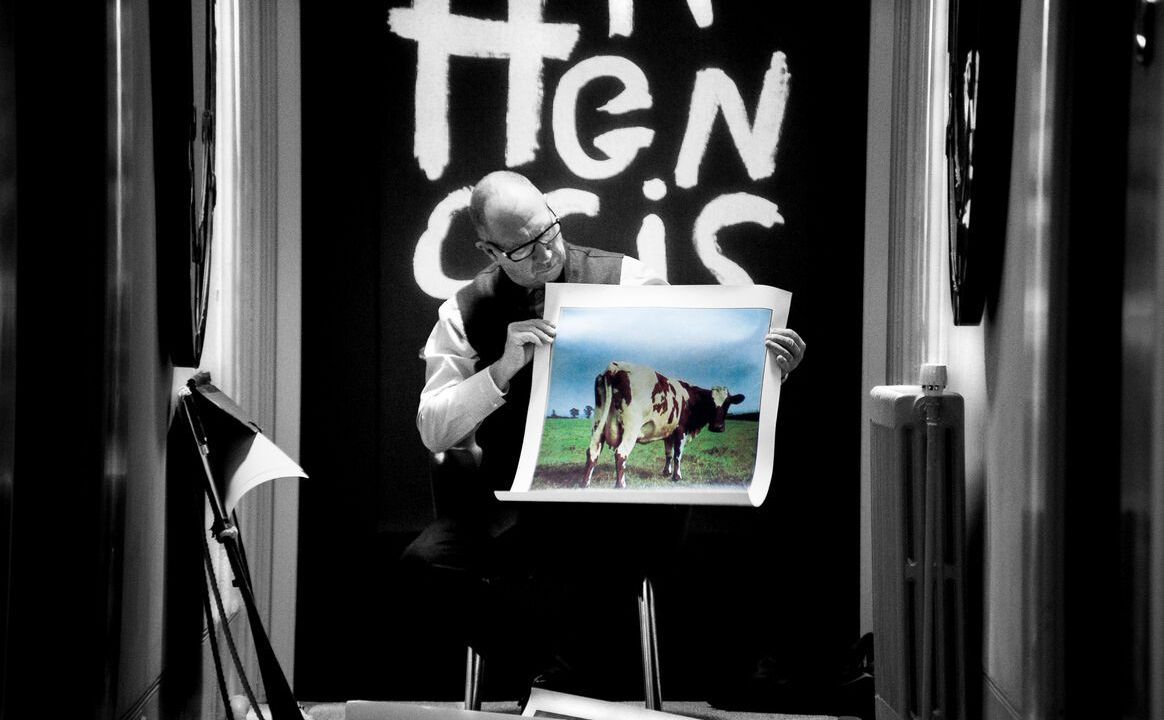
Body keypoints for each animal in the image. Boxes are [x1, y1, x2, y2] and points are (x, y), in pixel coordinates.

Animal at [581, 361, 745, 489]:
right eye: (711, 403)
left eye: (727, 404)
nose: (717, 427)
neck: (690, 399)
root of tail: (615, 367)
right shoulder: (681, 431)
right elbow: (678, 454)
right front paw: (677, 476)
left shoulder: (668, 432)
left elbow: (668, 453)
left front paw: (666, 472)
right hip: (631, 428)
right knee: (621, 454)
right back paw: (620, 485)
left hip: (598, 422)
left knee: (592, 451)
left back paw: (585, 484)